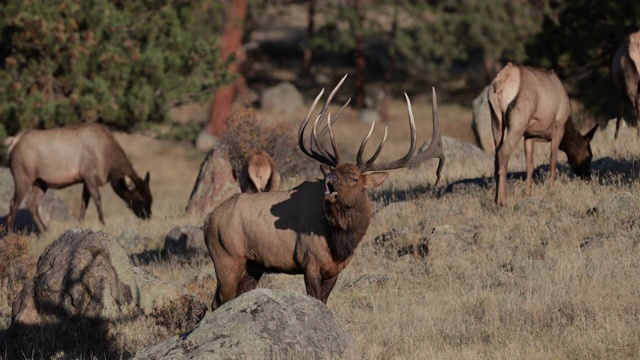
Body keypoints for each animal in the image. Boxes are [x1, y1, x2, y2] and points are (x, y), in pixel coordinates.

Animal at [5, 122, 152, 232]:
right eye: (139, 199)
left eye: (150, 198)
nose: (148, 216)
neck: (109, 164)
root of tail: (13, 143)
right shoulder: (89, 176)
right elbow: (97, 200)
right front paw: (103, 223)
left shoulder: (85, 180)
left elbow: (84, 204)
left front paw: (80, 223)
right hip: (23, 177)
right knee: (13, 203)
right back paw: (11, 232)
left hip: (40, 182)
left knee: (31, 203)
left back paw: (45, 230)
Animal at [205, 74, 444, 310]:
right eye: (334, 171)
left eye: (355, 177)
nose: (330, 180)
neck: (340, 242)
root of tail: (208, 219)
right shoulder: (309, 262)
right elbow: (316, 301)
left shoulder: (335, 270)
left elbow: (325, 302)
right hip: (226, 258)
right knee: (218, 301)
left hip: (252, 266)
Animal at [488, 63, 596, 207]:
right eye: (589, 156)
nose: (587, 176)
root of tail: (501, 83)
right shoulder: (558, 126)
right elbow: (553, 159)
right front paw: (551, 190)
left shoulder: (529, 135)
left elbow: (529, 164)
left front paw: (527, 194)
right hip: (518, 122)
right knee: (503, 154)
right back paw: (503, 201)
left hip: (496, 120)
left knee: (496, 156)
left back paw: (495, 199)